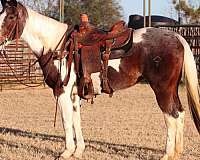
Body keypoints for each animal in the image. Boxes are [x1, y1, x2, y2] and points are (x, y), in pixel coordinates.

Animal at [0, 0, 199, 160]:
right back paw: (177, 152)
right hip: (171, 89)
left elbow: (66, 121)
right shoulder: (74, 94)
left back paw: (167, 154)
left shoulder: (62, 92)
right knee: (180, 113)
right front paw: (78, 151)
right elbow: (76, 120)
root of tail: (176, 36)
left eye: (10, 16)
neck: (57, 47)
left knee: (171, 116)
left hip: (162, 89)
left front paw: (66, 152)